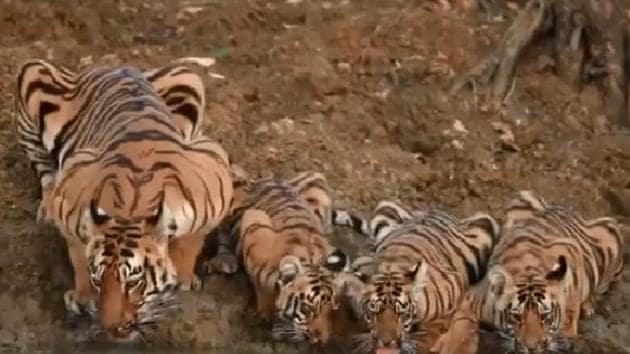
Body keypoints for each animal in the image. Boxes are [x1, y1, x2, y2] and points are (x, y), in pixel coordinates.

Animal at [15, 59, 237, 342]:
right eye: (98, 279)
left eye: (134, 283)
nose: (111, 327)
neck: (131, 206)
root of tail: (112, 66)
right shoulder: (71, 192)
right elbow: (78, 254)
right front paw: (83, 296)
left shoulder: (216, 176)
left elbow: (192, 241)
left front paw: (184, 277)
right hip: (32, 72)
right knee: (44, 169)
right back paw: (46, 206)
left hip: (189, 77)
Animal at [202, 170, 370, 344]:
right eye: (308, 309)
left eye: (331, 310)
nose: (320, 339)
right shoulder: (253, 221)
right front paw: (265, 310)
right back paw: (224, 260)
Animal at [344, 201, 502, 352]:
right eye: (374, 312)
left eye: (401, 313)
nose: (386, 342)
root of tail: (435, 210)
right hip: (384, 208)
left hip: (485, 225)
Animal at [432, 192, 624, 352]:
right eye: (517, 317)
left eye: (545, 316)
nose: (531, 347)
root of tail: (567, 209)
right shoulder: (473, 296)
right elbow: (462, 322)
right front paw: (454, 346)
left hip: (612, 231)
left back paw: (589, 306)